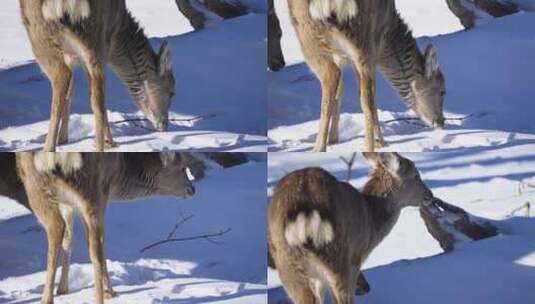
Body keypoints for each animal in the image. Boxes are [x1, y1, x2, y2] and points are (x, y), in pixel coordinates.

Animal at [15, 153, 197, 304]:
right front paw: (109, 292)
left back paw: (52, 296)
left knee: (60, 229)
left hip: (49, 185)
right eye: (183, 168)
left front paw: (63, 289)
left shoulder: (68, 202)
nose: (193, 189)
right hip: (83, 187)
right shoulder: (101, 193)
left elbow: (70, 240)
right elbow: (98, 243)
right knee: (88, 243)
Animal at [19, 0, 176, 152]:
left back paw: (51, 148)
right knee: (95, 98)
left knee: (65, 80)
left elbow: (70, 93)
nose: (164, 124)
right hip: (93, 40)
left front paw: (63, 139)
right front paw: (64, 139)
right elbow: (71, 93)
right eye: (172, 92)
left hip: (47, 35)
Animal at [268, 153, 436, 302]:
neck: (371, 221)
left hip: (287, 264)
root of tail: (304, 210)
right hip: (337, 258)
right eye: (416, 175)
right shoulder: (355, 258)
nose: (430, 195)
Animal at [288, 0, 448, 152]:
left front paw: (333, 139)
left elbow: (341, 91)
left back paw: (321, 148)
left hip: (311, 32)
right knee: (365, 96)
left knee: (334, 77)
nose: (441, 121)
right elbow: (347, 92)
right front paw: (335, 139)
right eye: (442, 91)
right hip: (362, 40)